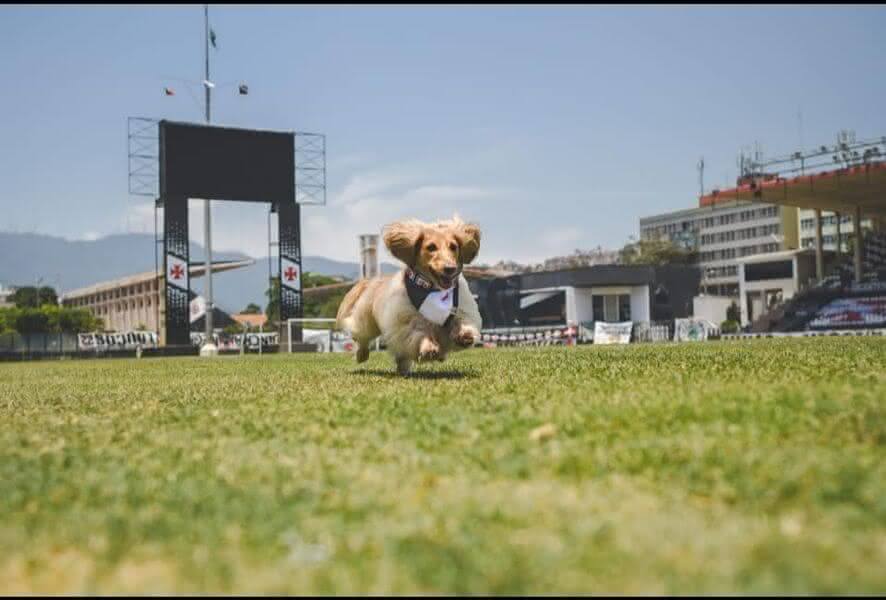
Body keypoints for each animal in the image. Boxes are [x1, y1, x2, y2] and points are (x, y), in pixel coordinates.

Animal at [336, 216, 486, 376]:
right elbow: (419, 333)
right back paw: (361, 355)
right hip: (366, 320)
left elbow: (461, 320)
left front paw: (465, 335)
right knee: (361, 337)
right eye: (431, 247)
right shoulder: (406, 321)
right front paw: (428, 348)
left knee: (401, 357)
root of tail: (374, 280)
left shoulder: (459, 308)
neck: (432, 289)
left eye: (453, 246)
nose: (450, 268)